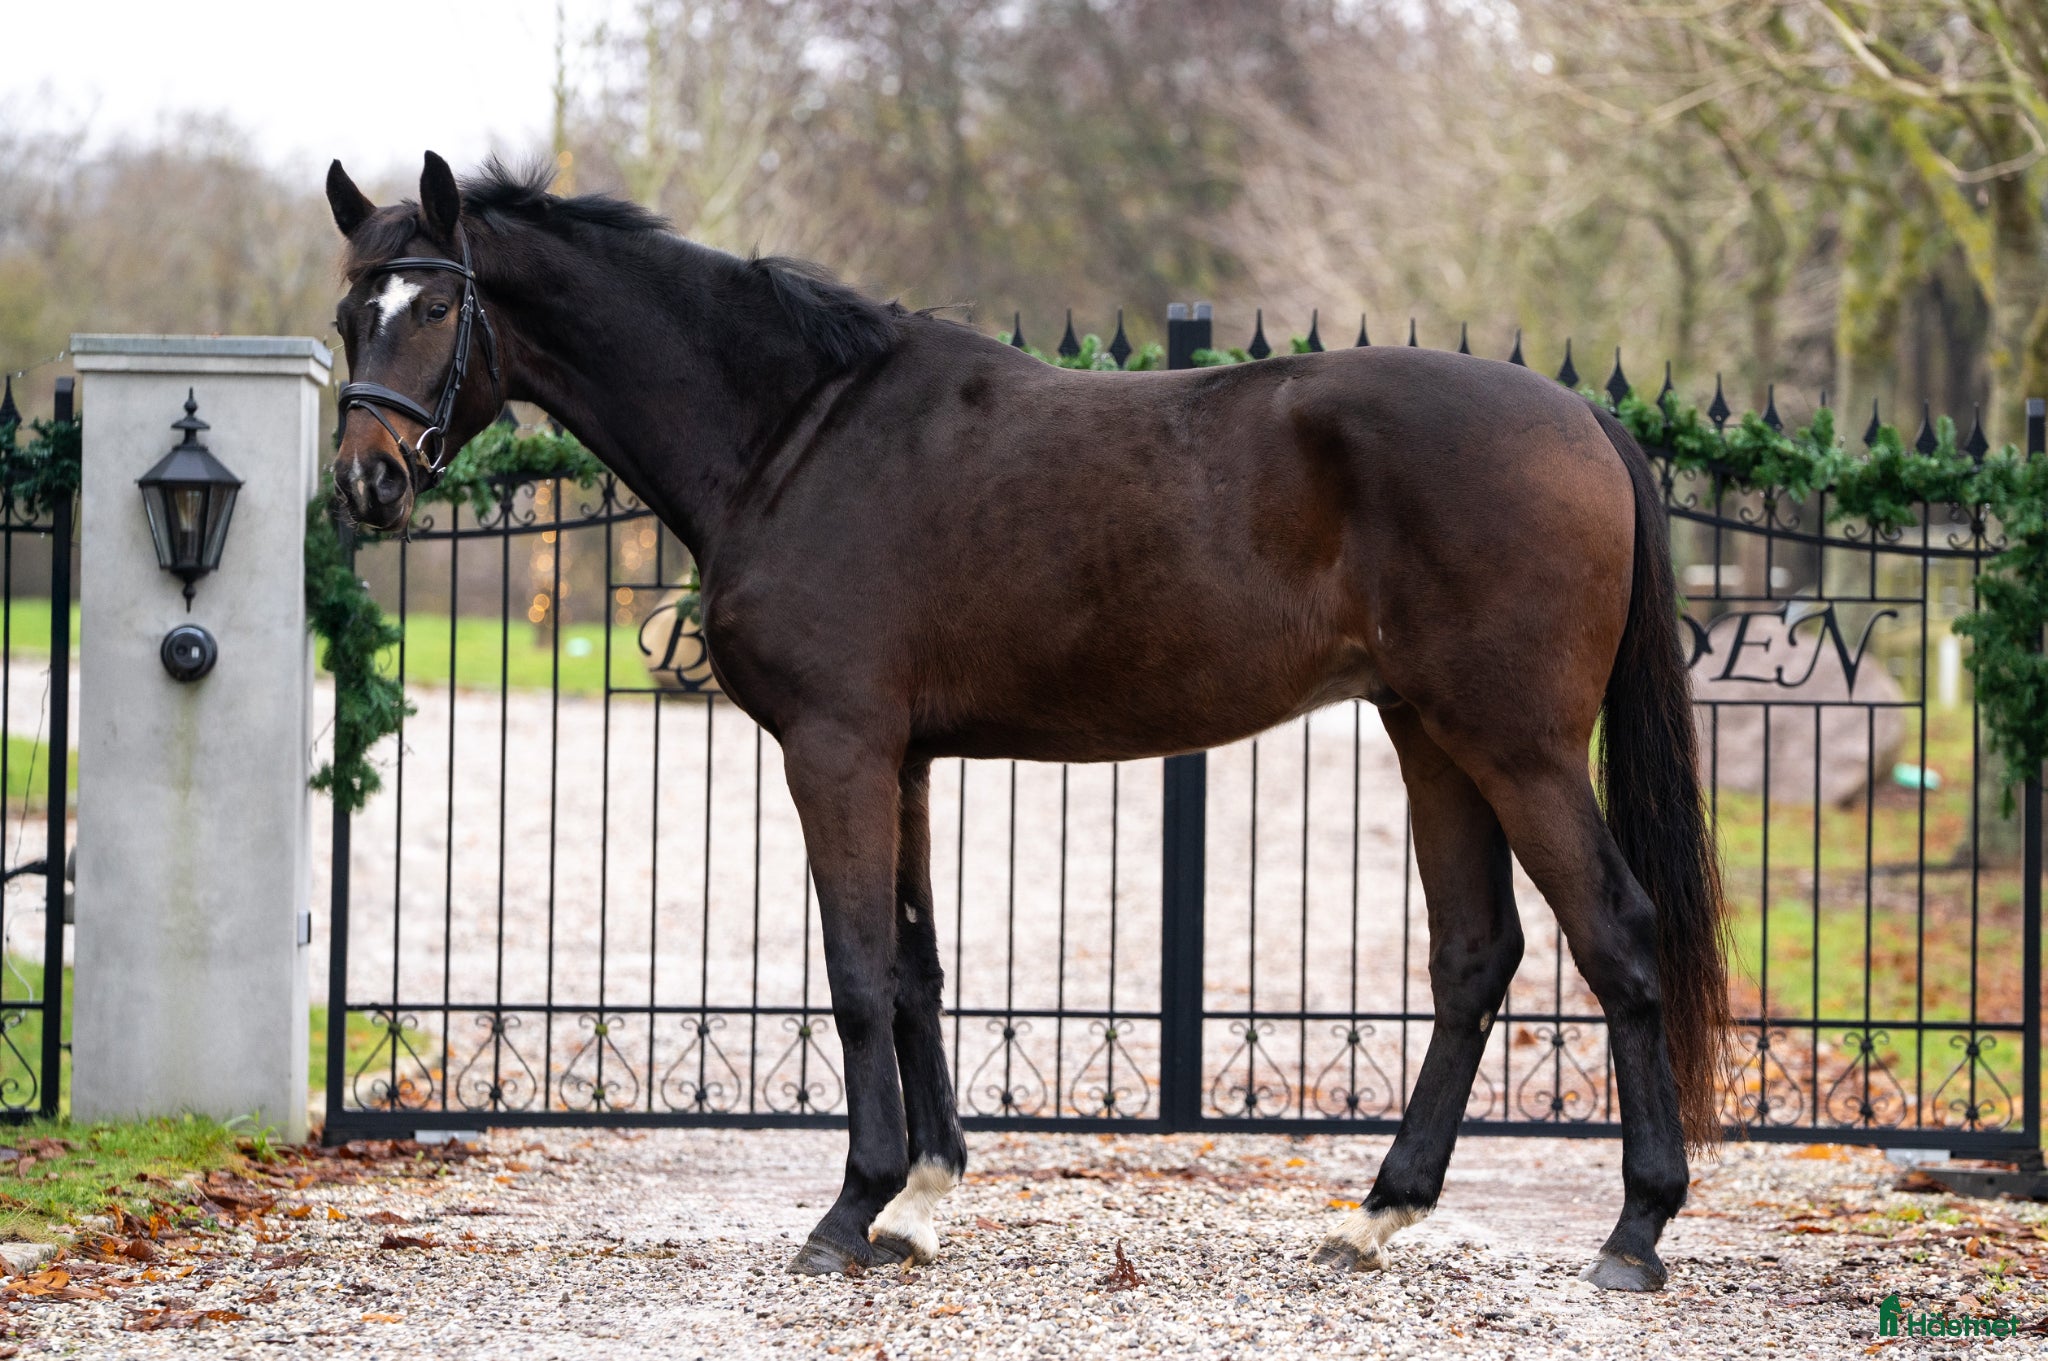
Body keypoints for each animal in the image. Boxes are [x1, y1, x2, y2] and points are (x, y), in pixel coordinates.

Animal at [323, 151, 1728, 1292]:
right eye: (347, 313)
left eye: (435, 305)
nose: (365, 484)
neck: (795, 431)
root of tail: (1580, 416)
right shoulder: (900, 762)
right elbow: (914, 968)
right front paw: (919, 1201)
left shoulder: (834, 749)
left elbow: (854, 972)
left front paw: (848, 1209)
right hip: (1427, 734)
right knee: (1474, 954)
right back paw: (1380, 1212)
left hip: (1516, 746)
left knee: (1615, 934)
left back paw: (1634, 1232)